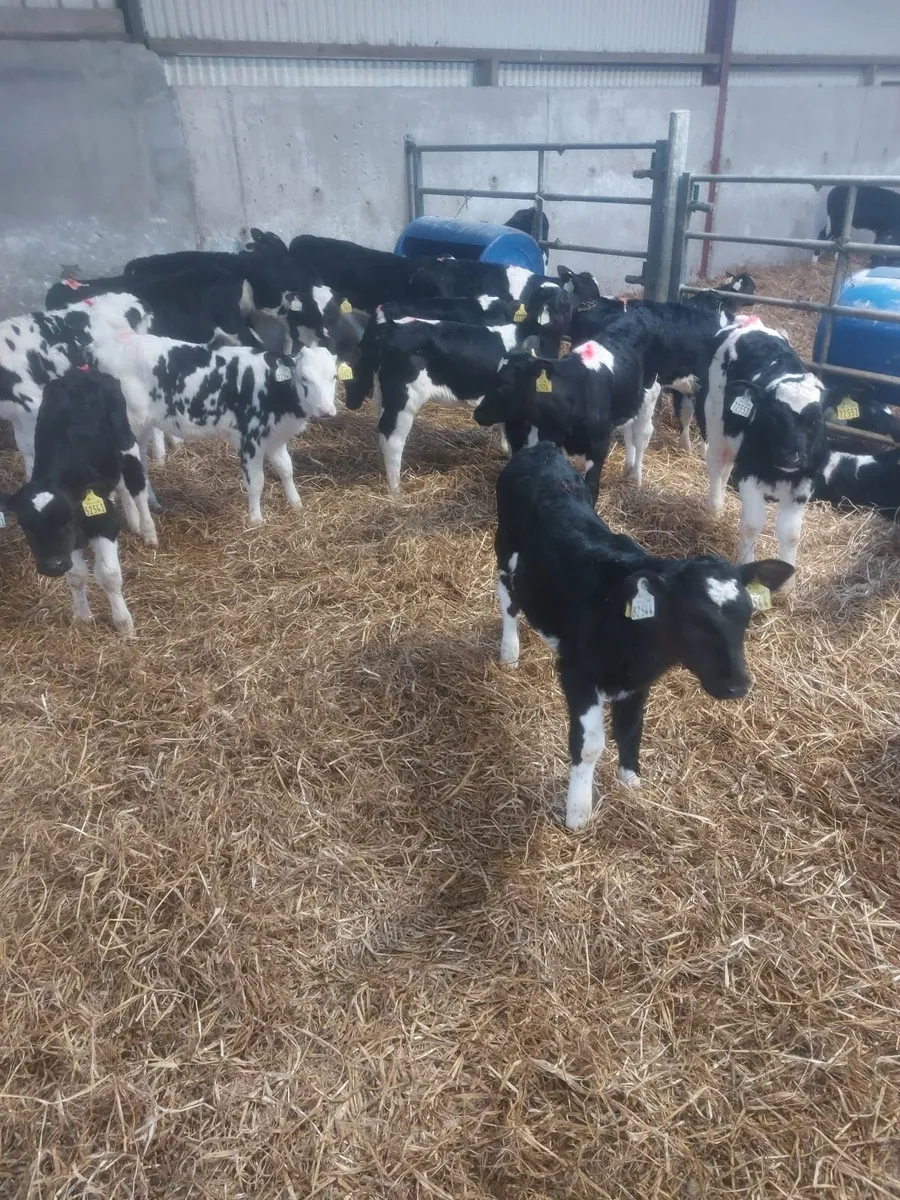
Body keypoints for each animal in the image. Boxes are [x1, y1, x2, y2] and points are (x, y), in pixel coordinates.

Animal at [0, 369, 158, 637]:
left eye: (66, 520)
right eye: (25, 525)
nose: (53, 566)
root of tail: (82, 373)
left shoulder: (103, 521)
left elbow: (109, 575)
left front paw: (124, 623)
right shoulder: (69, 543)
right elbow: (76, 575)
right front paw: (84, 616)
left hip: (127, 442)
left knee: (136, 484)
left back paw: (148, 530)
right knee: (122, 485)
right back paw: (135, 521)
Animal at [89, 333, 337, 524]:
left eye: (334, 376)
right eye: (304, 378)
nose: (326, 410)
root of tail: (99, 349)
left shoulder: (275, 436)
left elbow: (286, 469)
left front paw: (296, 503)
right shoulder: (250, 440)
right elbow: (256, 482)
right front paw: (256, 520)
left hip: (143, 427)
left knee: (140, 464)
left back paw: (153, 502)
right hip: (126, 428)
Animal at [493, 441, 794, 829]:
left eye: (747, 617)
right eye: (695, 620)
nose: (738, 685)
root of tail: (542, 449)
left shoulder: (639, 681)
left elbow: (631, 726)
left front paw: (630, 780)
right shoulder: (577, 673)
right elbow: (589, 744)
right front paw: (578, 811)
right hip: (504, 551)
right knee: (508, 602)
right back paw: (509, 651)